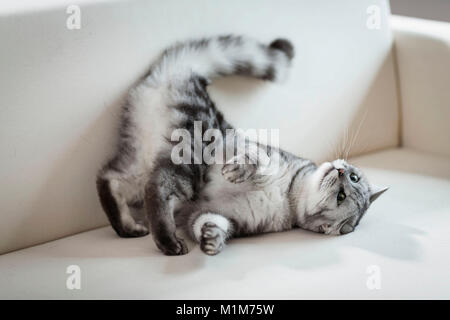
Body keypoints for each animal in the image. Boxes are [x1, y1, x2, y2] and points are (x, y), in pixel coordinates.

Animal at [96, 34, 386, 255]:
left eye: (342, 196)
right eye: (354, 178)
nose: (341, 170)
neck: (288, 194)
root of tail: (185, 73)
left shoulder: (217, 216)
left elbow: (210, 223)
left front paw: (212, 240)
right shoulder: (264, 153)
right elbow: (256, 161)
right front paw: (239, 170)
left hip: (144, 159)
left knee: (116, 179)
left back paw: (133, 228)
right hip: (192, 155)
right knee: (156, 186)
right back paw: (167, 240)